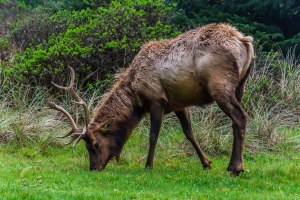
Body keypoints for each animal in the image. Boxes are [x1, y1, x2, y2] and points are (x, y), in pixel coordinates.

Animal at [48, 23, 253, 177]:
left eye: (94, 144)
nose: (94, 168)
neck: (135, 95)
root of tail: (244, 41)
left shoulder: (157, 99)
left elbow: (153, 135)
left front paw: (148, 165)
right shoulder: (179, 103)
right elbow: (189, 132)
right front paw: (206, 163)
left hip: (220, 85)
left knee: (240, 116)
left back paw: (237, 168)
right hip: (240, 87)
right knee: (235, 121)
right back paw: (230, 165)